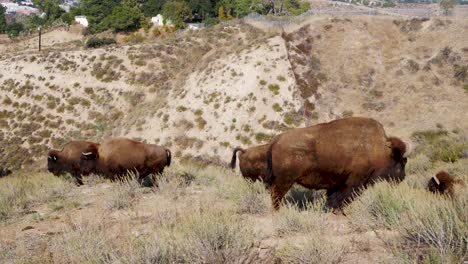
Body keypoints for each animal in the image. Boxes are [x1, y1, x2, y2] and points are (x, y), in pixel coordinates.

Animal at [266, 116, 408, 211]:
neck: (378, 149)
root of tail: (276, 140)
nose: (402, 177)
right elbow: (344, 196)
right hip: (285, 180)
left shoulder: (337, 183)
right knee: (276, 194)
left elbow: (333, 197)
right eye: (401, 161)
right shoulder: (355, 179)